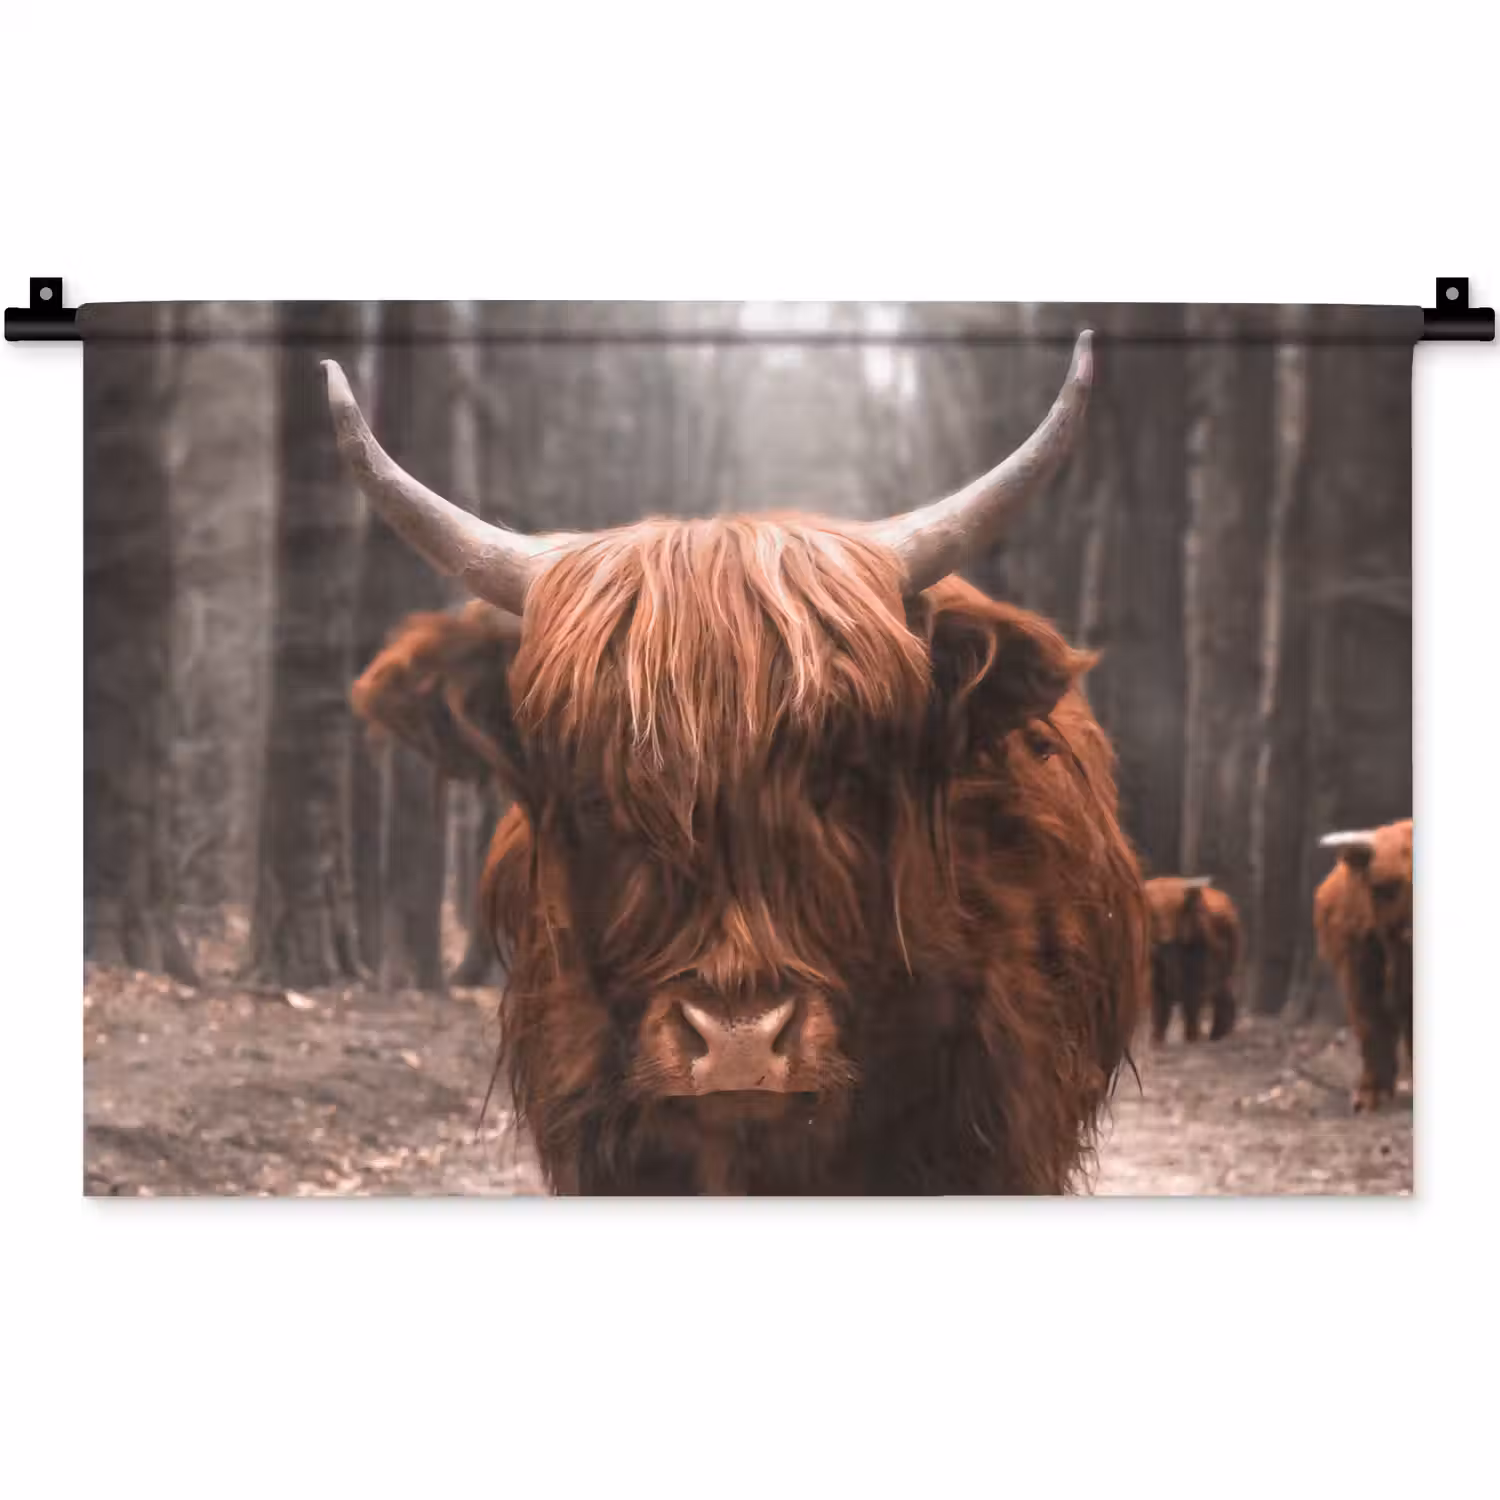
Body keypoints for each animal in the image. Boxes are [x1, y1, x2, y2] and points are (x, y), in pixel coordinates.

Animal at [1142, 877, 1239, 1044]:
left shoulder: (1198, 968)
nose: (1163, 940)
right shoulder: (1155, 974)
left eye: (1178, 911)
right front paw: (1156, 1042)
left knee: (1222, 992)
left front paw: (1191, 1038)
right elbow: (1159, 1006)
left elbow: (1191, 1003)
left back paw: (1217, 1036)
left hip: (1227, 965)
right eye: (1153, 913)